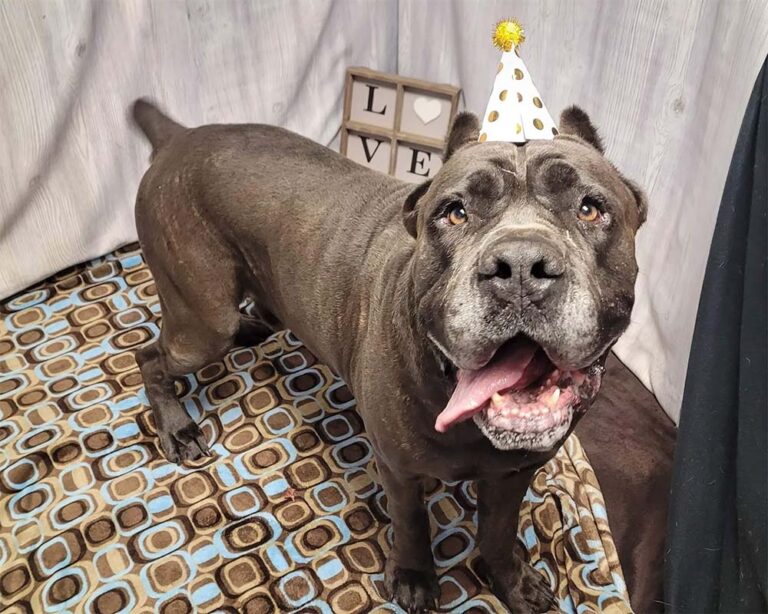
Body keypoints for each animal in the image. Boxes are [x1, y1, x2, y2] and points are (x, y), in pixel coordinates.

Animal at [130, 98, 640, 612]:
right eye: (454, 213)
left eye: (590, 209)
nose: (518, 267)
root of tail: (180, 135)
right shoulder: (398, 468)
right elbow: (411, 522)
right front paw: (415, 577)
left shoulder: (514, 473)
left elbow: (498, 532)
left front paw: (511, 582)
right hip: (203, 323)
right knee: (150, 358)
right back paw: (177, 428)